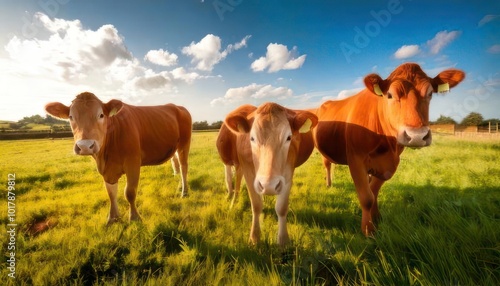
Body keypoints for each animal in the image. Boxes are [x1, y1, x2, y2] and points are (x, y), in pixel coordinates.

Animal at [45, 92, 191, 225]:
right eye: (71, 117)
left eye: (101, 115)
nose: (85, 146)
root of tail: (177, 106)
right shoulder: (107, 171)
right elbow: (111, 193)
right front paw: (113, 218)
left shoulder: (133, 163)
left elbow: (130, 192)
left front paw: (134, 218)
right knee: (175, 162)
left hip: (184, 144)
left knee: (184, 167)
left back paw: (184, 192)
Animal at [225, 102, 318, 246]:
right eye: (252, 138)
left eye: (289, 137)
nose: (269, 185)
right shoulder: (247, 172)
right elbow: (256, 205)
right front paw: (255, 238)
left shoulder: (287, 175)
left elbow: (281, 208)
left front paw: (283, 240)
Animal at [312, 63, 464, 236]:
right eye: (390, 95)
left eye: (430, 93)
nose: (417, 136)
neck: (385, 143)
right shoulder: (356, 159)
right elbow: (367, 197)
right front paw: (368, 229)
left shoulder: (390, 163)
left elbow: (374, 191)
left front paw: (377, 218)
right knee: (327, 164)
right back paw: (329, 184)